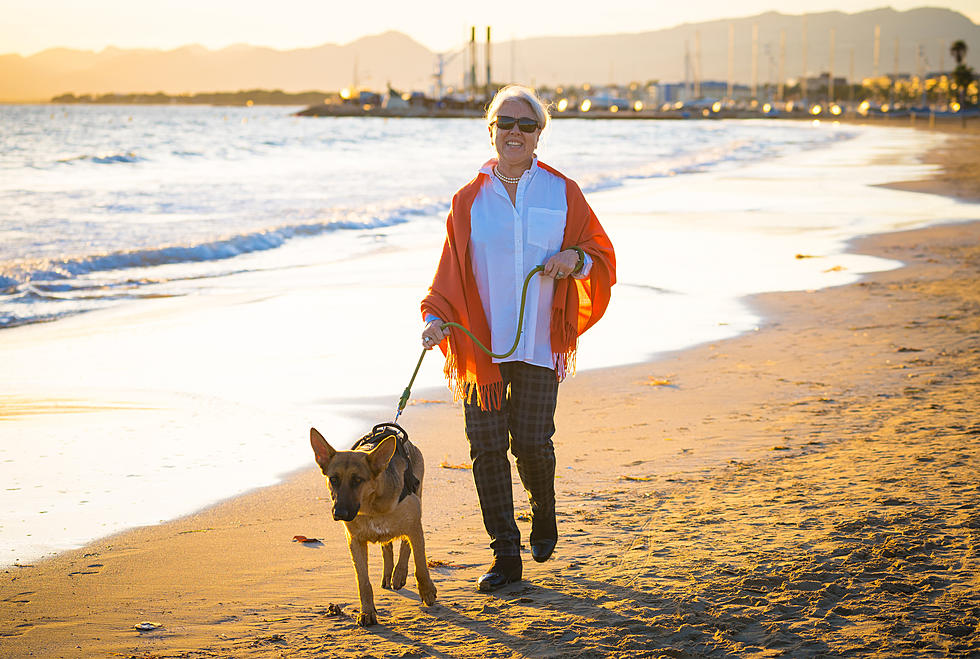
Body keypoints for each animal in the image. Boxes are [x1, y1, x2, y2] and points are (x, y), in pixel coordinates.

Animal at [310, 426, 436, 628]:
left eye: (357, 480)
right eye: (334, 479)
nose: (339, 513)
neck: (371, 507)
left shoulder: (414, 525)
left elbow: (420, 563)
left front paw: (426, 590)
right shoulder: (355, 542)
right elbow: (363, 582)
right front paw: (367, 612)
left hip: (417, 504)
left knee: (405, 545)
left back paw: (399, 573)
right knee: (388, 547)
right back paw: (389, 574)